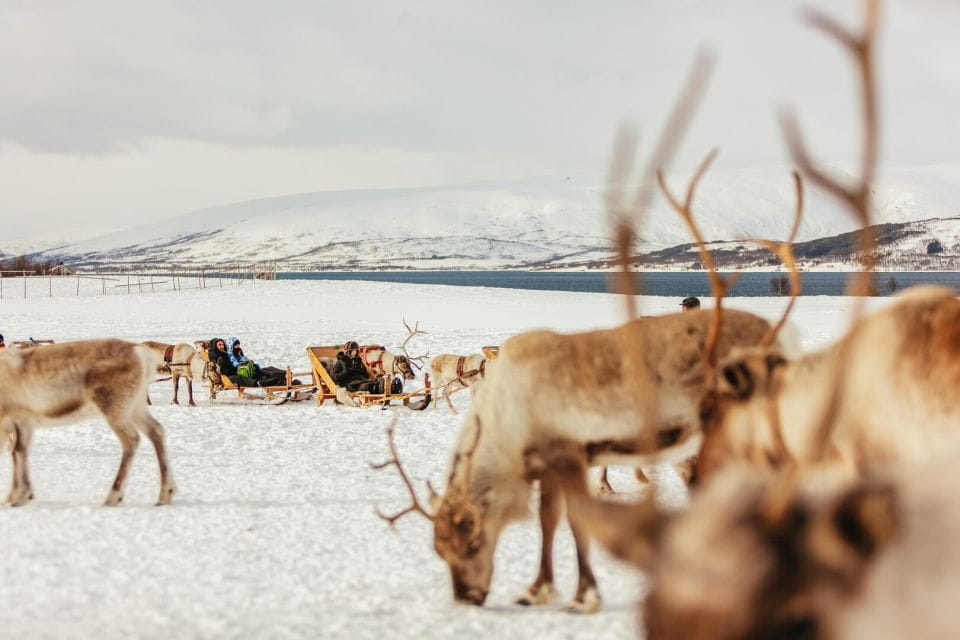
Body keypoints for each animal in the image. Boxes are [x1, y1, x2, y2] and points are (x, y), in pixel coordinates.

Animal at [0, 339, 176, 506]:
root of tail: (140, 353)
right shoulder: (23, 423)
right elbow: (19, 452)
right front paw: (20, 495)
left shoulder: (20, 418)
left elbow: (18, 451)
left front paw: (20, 497)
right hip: (136, 407)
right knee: (156, 431)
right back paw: (165, 494)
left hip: (114, 408)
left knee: (131, 439)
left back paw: (113, 497)